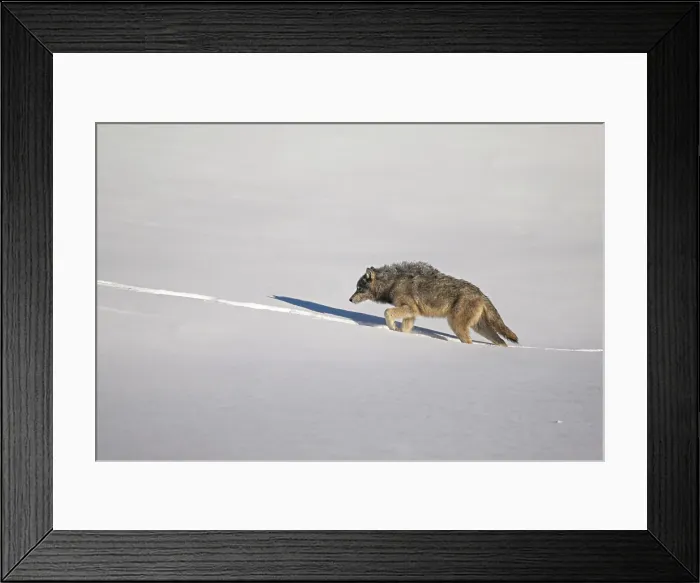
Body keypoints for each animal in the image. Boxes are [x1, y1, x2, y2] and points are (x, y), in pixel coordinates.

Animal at [349, 261, 518, 346]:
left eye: (358, 288)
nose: (350, 299)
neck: (392, 283)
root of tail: (481, 293)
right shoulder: (412, 314)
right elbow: (405, 329)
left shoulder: (410, 309)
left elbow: (387, 312)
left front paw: (392, 328)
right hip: (479, 327)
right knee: (502, 342)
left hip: (456, 325)